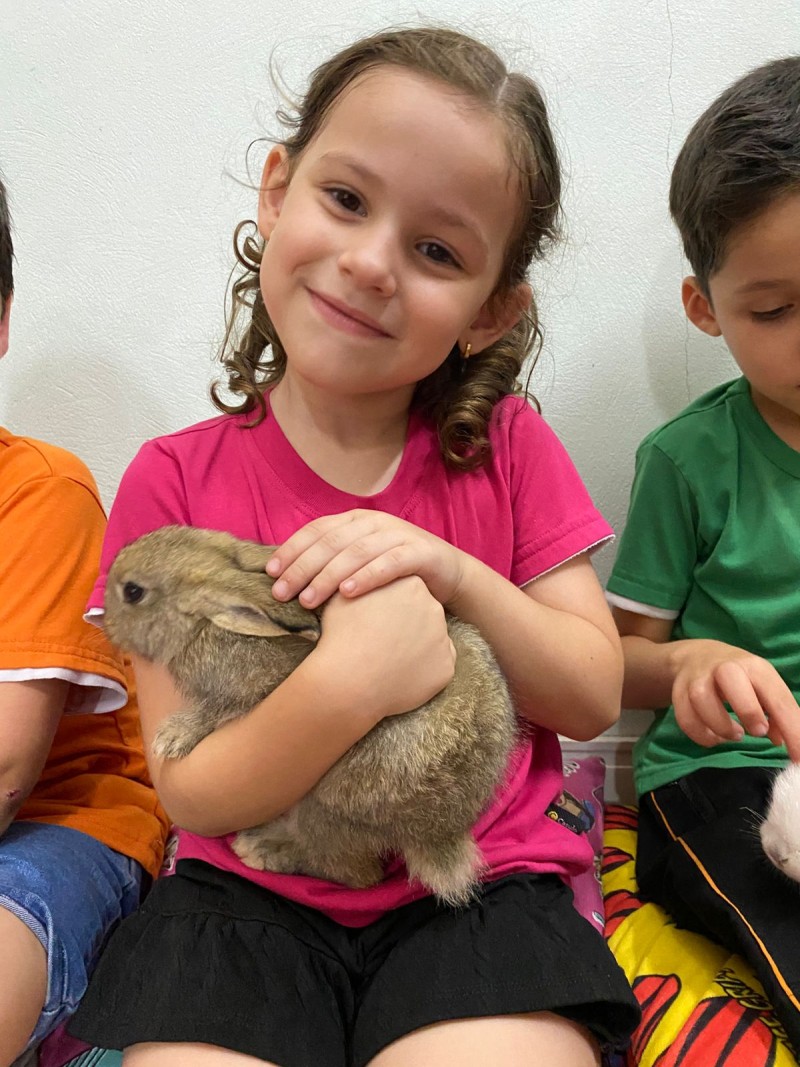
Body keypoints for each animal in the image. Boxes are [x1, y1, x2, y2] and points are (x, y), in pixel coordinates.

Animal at [103, 524, 518, 905]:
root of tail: (441, 832)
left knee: (355, 873)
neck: (204, 623)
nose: (103, 623)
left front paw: (171, 737)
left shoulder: (255, 688)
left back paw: (262, 850)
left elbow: (214, 710)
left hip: (328, 807)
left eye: (133, 592)